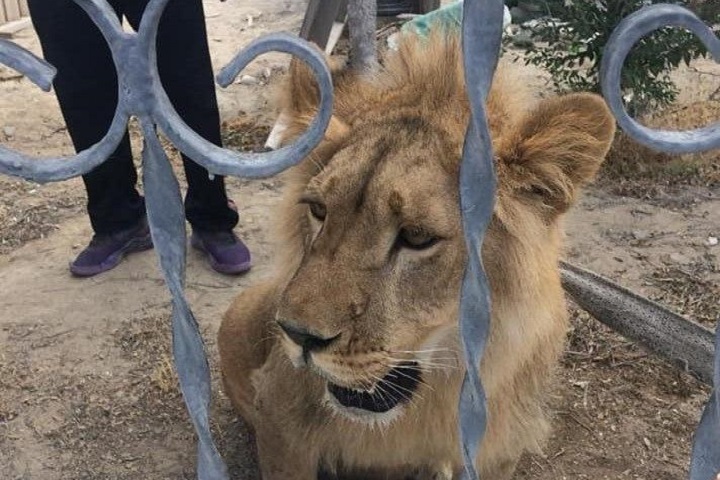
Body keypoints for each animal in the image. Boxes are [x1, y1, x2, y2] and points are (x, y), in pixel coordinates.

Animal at [218, 34, 615, 480]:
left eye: (417, 236)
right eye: (319, 210)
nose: (297, 335)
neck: (435, 399)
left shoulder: (501, 450)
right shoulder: (280, 419)